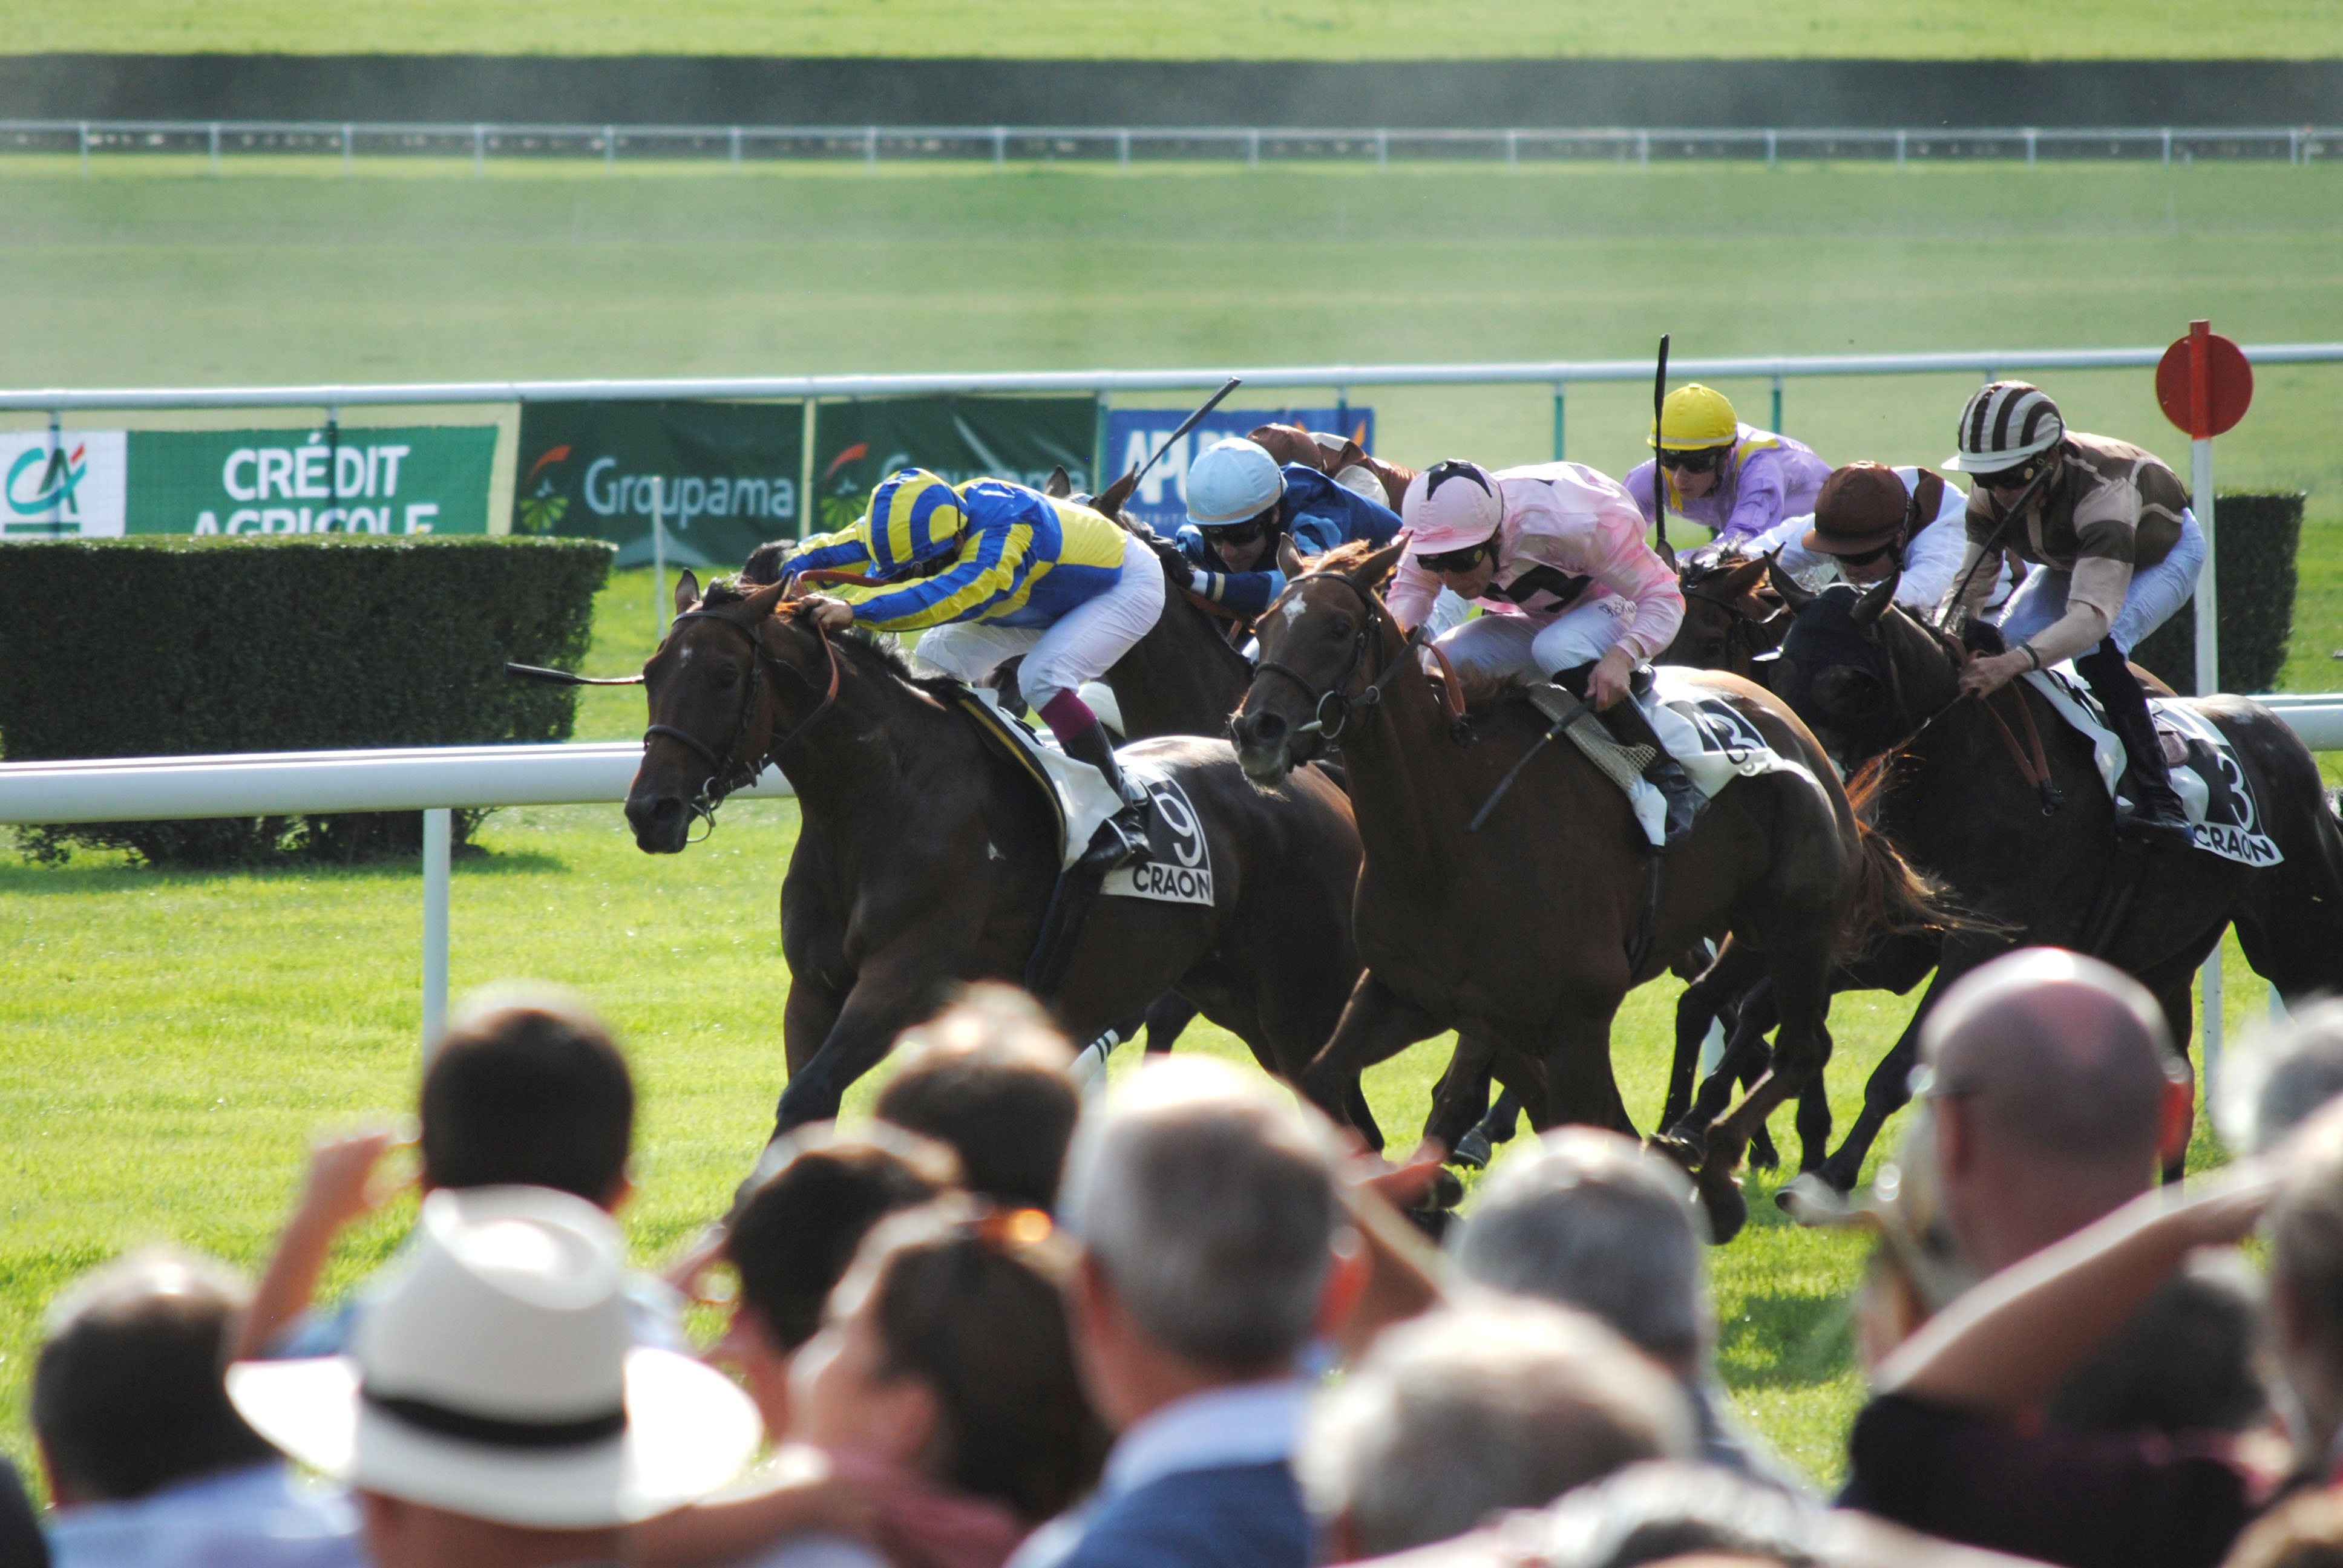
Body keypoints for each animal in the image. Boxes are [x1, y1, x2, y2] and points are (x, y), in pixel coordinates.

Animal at [618, 574, 1368, 1138]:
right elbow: (806, 1104)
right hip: (1232, 996)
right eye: (650, 673)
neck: (875, 797)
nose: (650, 810)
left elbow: (806, 1096)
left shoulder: (902, 982)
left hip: (1299, 1006)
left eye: (723, 675)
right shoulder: (813, 988)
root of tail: (1317, 779)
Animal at [1227, 539, 1940, 1237]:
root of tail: (1804, 740)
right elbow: (1322, 1081)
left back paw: (1711, 1166)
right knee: (1730, 1012)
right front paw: (1419, 1190)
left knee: (1802, 1049)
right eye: (1261, 627)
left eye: (1338, 627)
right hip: (1750, 931)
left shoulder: (1577, 1018)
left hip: (1801, 926)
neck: (1446, 840)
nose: (1254, 729)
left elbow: (1580, 1128)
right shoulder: (1407, 995)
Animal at [1761, 569, 2343, 1191]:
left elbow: (1900, 1067)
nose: (1806, 766)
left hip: (2299, 938)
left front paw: (1831, 1176)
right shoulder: (1900, 937)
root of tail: (2288, 743)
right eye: (1777, 668)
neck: (1967, 770)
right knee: (2175, 1076)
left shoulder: (1988, 940)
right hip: (2164, 954)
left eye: (1849, 683)